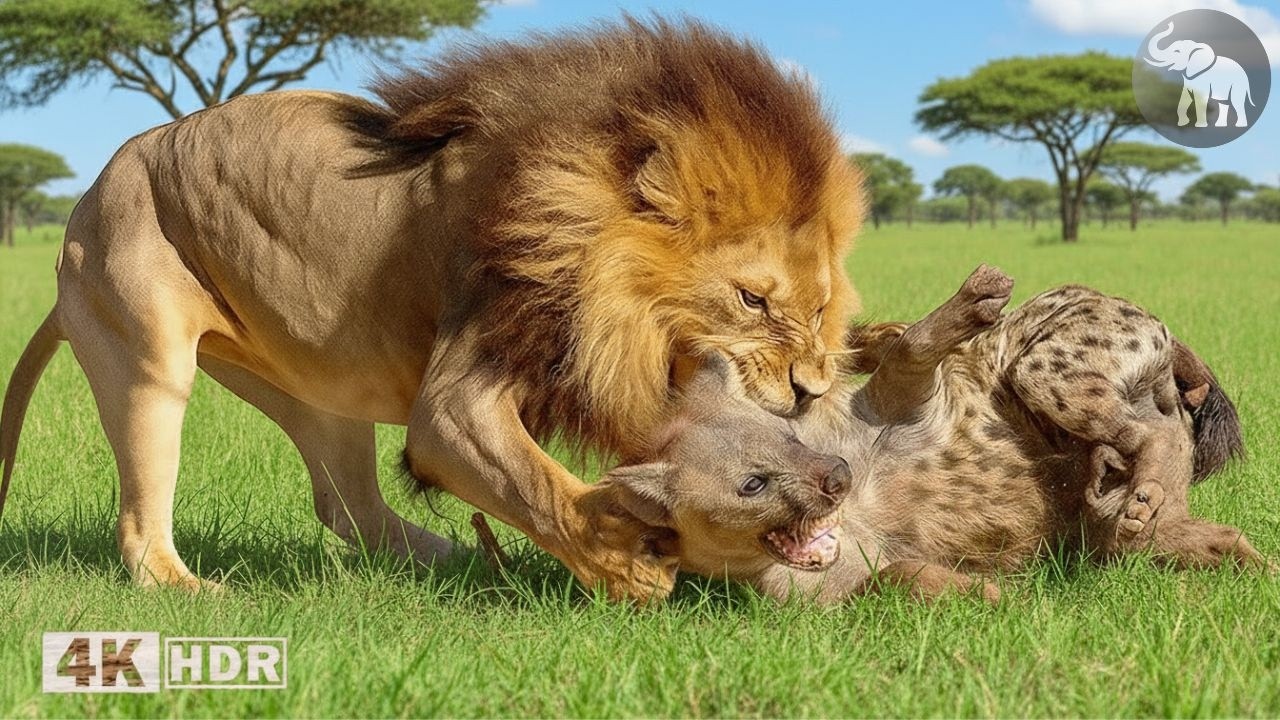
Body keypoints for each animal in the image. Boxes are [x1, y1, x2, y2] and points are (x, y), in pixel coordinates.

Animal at [0, 18, 862, 600]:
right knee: (143, 524)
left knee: (348, 506)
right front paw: (630, 561)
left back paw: (470, 564)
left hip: (323, 391)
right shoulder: (456, 400)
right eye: (752, 298)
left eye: (820, 307)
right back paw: (196, 590)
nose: (810, 391)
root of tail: (79, 210)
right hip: (145, 353)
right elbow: (534, 481)